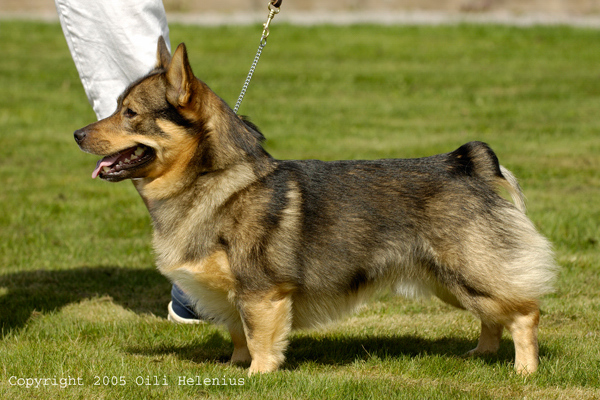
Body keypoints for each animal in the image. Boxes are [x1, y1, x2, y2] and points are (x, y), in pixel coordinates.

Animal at [74, 37, 556, 376]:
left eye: (130, 113)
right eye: (116, 107)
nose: (77, 134)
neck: (214, 180)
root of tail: (465, 163)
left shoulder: (261, 290)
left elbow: (260, 337)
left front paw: (256, 376)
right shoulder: (233, 295)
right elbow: (237, 333)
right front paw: (233, 367)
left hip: (468, 270)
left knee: (524, 313)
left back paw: (523, 371)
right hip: (449, 281)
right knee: (493, 316)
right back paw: (481, 354)